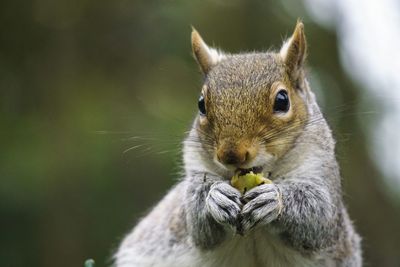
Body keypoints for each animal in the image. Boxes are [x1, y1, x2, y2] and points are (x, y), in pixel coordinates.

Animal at [113, 21, 362, 267]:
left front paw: (273, 199)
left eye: (282, 100)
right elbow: (197, 221)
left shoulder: (320, 171)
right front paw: (215, 197)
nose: (231, 155)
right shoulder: (195, 169)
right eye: (201, 104)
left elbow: (317, 217)